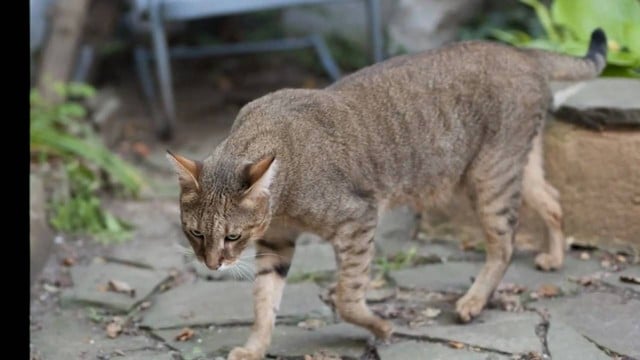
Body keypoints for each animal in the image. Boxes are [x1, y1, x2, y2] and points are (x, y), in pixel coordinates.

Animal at [165, 28, 604, 360]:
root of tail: (519, 50)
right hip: (515, 166)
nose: (212, 265)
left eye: (232, 236)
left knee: (505, 243)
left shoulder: (357, 220)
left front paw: (380, 326)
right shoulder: (277, 242)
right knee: (554, 199)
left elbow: (346, 296)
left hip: (490, 178)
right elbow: (263, 301)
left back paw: (473, 301)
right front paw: (255, 348)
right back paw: (554, 256)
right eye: (196, 232)